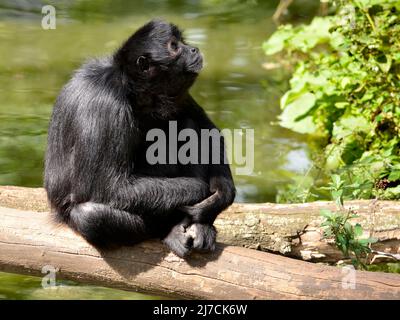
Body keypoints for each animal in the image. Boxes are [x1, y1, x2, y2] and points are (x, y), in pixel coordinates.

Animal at [45, 19, 236, 258]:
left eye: (181, 42)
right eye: (174, 46)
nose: (193, 49)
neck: (129, 87)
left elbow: (209, 130)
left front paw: (221, 195)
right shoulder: (106, 106)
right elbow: (107, 188)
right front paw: (201, 191)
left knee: (188, 123)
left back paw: (199, 226)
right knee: (90, 215)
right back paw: (171, 227)